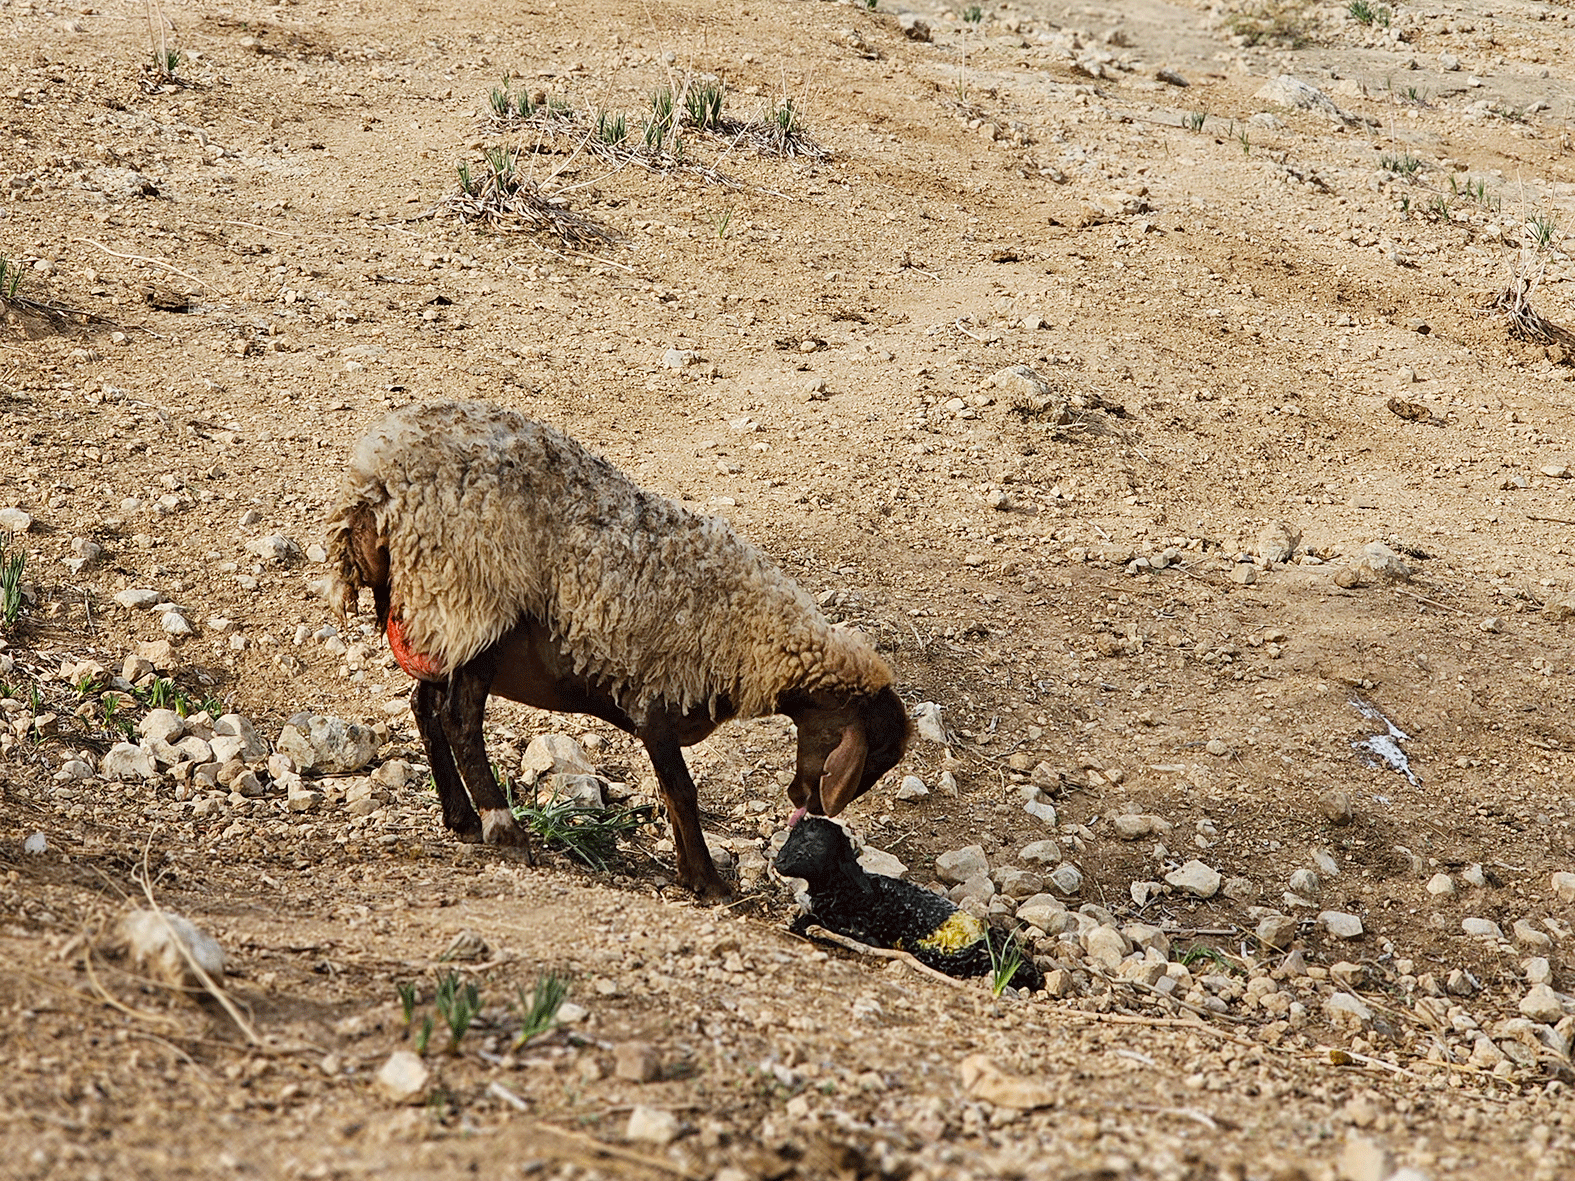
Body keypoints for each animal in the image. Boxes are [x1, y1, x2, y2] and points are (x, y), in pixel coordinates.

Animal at [325, 400, 911, 900]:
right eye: (873, 756)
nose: (806, 803)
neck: (749, 634)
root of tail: (375, 480)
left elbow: (674, 793)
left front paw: (694, 873)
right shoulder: (655, 700)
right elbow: (682, 792)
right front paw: (707, 881)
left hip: (438, 612)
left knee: (424, 706)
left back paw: (462, 818)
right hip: (474, 595)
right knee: (458, 719)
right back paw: (502, 826)